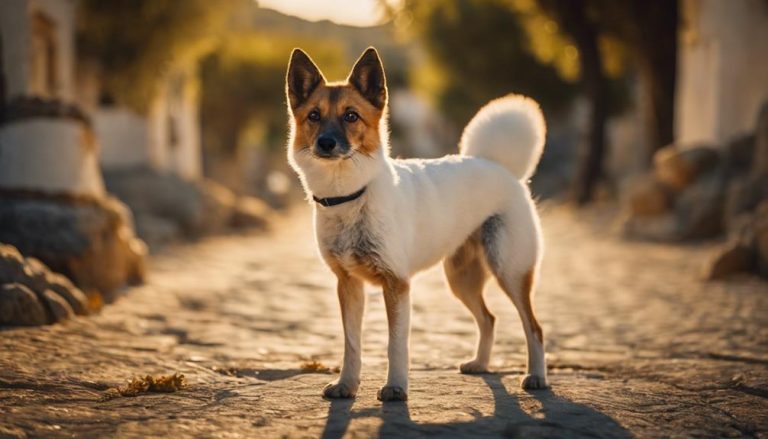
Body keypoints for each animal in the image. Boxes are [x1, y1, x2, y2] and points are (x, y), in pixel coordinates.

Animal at [286, 47, 544, 402]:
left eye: (351, 116)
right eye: (314, 115)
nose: (326, 143)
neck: (351, 195)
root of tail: (498, 166)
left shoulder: (397, 284)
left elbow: (396, 344)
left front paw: (395, 387)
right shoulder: (348, 284)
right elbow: (352, 344)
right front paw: (346, 385)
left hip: (511, 271)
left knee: (534, 327)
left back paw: (536, 376)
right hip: (461, 279)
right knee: (488, 319)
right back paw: (480, 363)